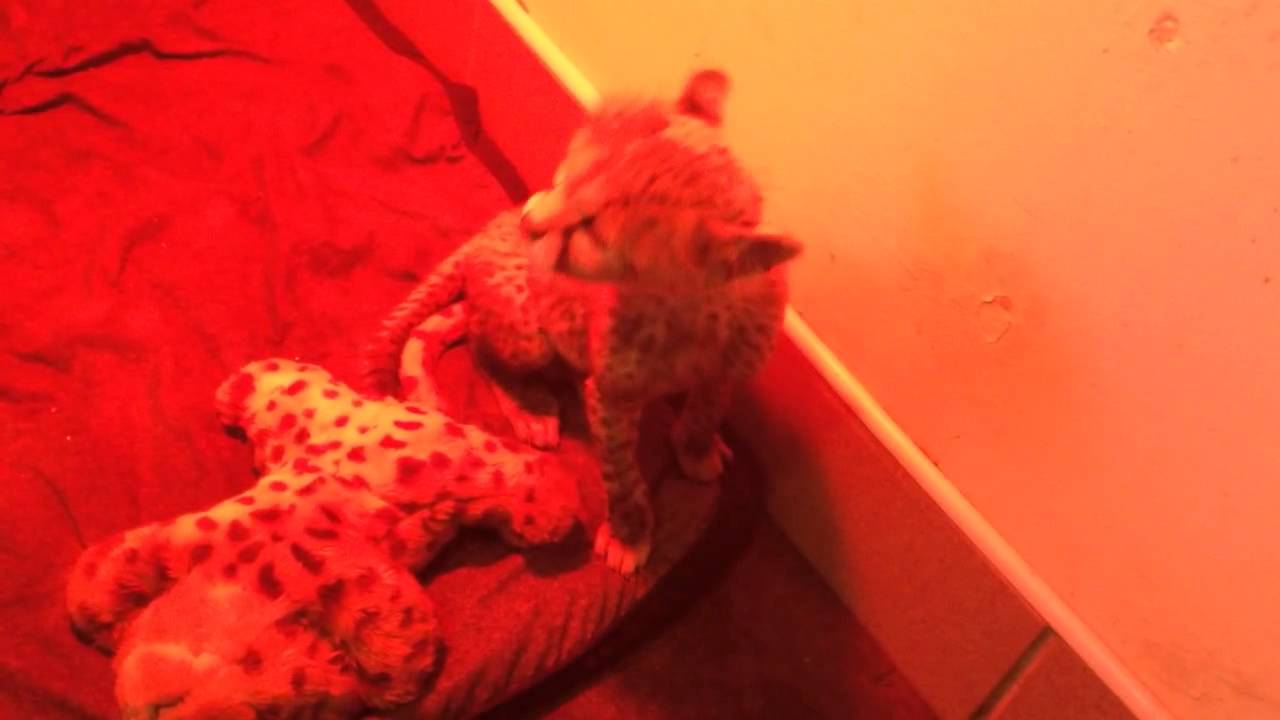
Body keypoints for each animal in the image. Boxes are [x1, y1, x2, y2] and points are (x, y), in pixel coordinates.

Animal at [364, 68, 802, 576]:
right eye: (562, 177)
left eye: (590, 231)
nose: (530, 221)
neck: (688, 310)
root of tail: (492, 225)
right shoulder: (609, 395)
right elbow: (622, 473)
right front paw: (628, 535)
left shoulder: (727, 368)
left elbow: (708, 406)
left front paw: (697, 448)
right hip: (526, 327)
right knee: (478, 341)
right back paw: (532, 406)